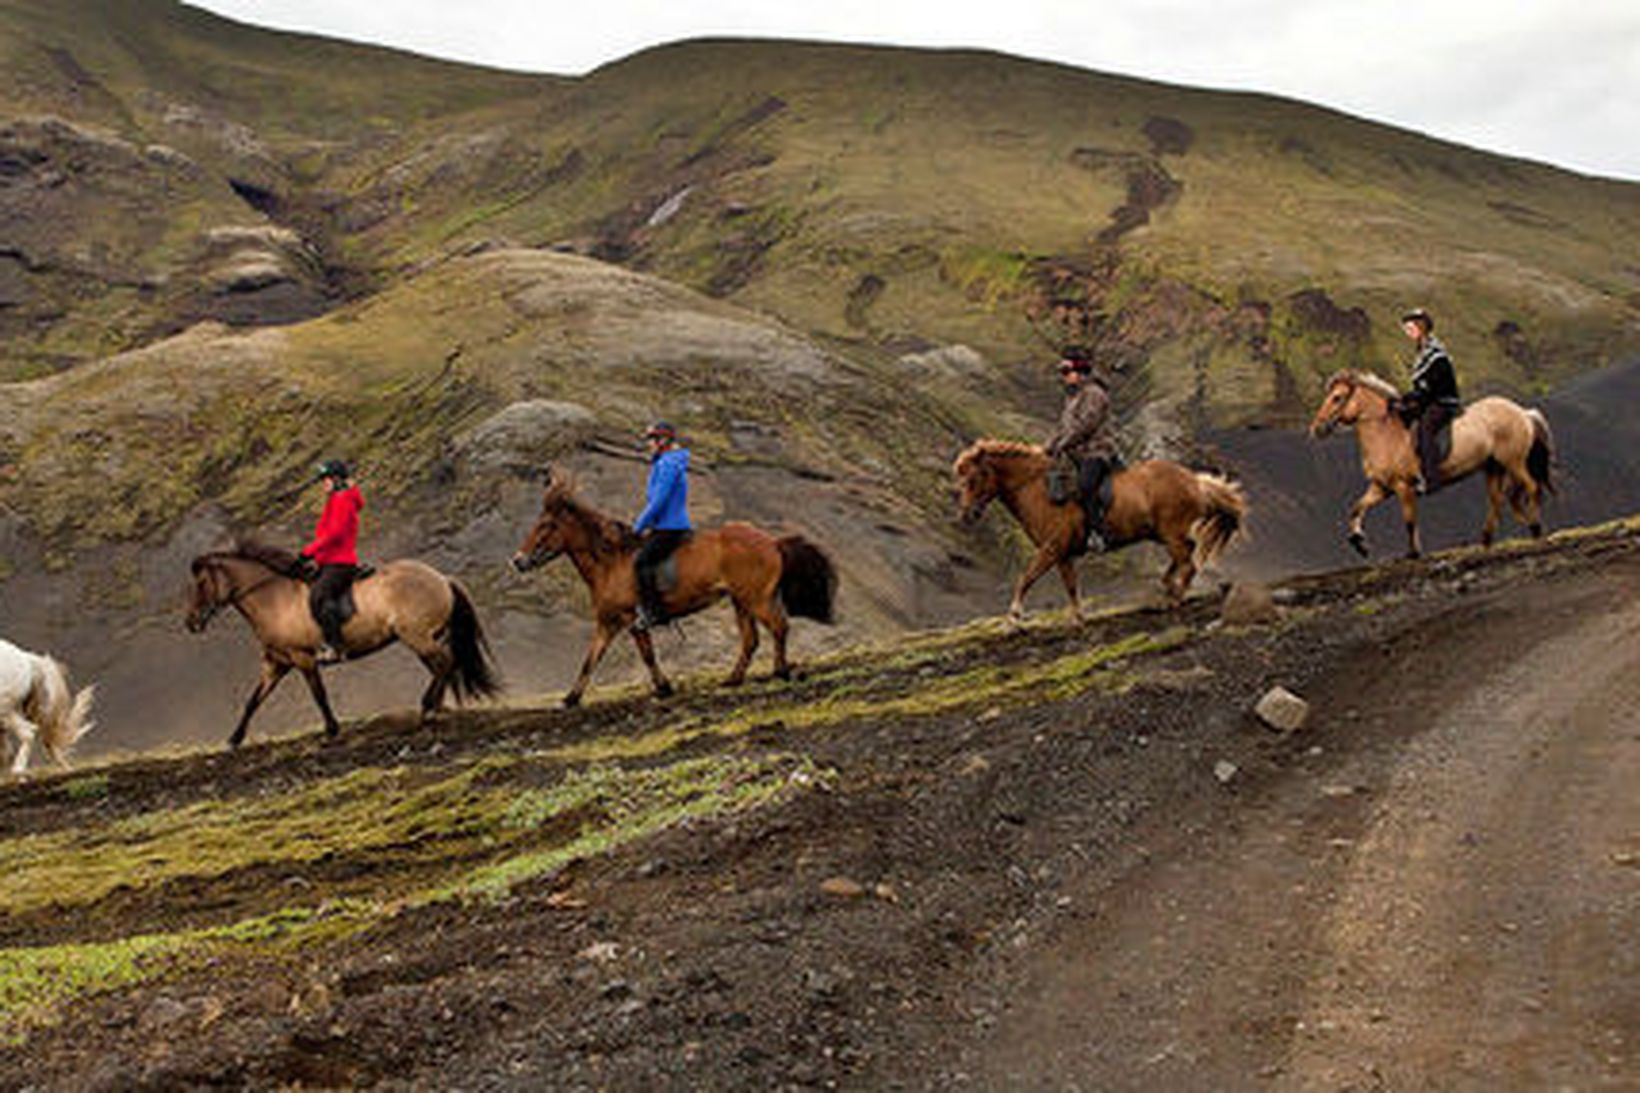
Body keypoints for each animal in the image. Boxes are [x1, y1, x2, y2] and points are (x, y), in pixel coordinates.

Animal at [186, 541, 498, 745]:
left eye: (201, 584)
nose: (191, 623)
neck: (275, 599)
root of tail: (442, 578)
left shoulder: (303, 658)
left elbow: (319, 694)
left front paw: (331, 730)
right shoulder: (276, 663)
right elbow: (253, 700)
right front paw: (234, 738)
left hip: (417, 636)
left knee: (444, 663)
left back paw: (428, 709)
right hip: (424, 637)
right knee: (444, 665)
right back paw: (435, 707)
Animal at [508, 469, 846, 705]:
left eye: (546, 525)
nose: (518, 560)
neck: (612, 561)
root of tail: (773, 542)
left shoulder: (632, 620)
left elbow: (647, 656)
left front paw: (664, 687)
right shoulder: (607, 622)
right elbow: (590, 660)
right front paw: (571, 698)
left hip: (756, 599)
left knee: (778, 627)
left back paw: (781, 671)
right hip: (741, 601)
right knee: (751, 640)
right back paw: (733, 679)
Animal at [951, 439, 1239, 617]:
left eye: (974, 478)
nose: (967, 515)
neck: (1037, 488)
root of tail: (1195, 481)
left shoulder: (1051, 549)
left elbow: (1027, 577)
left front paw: (1014, 615)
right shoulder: (1062, 555)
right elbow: (1071, 586)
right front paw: (1079, 618)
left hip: (1171, 534)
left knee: (1188, 563)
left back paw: (1175, 598)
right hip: (1164, 534)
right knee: (1185, 558)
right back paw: (1168, 587)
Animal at [1305, 367, 1548, 557]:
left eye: (1337, 397)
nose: (1316, 428)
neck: (1385, 434)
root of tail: (1523, 412)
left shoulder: (1403, 486)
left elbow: (1409, 520)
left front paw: (1413, 553)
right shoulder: (1381, 487)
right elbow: (1356, 508)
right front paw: (1359, 543)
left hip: (1513, 462)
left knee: (1531, 487)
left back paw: (1535, 528)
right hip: (1493, 467)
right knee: (1498, 499)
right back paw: (1487, 540)